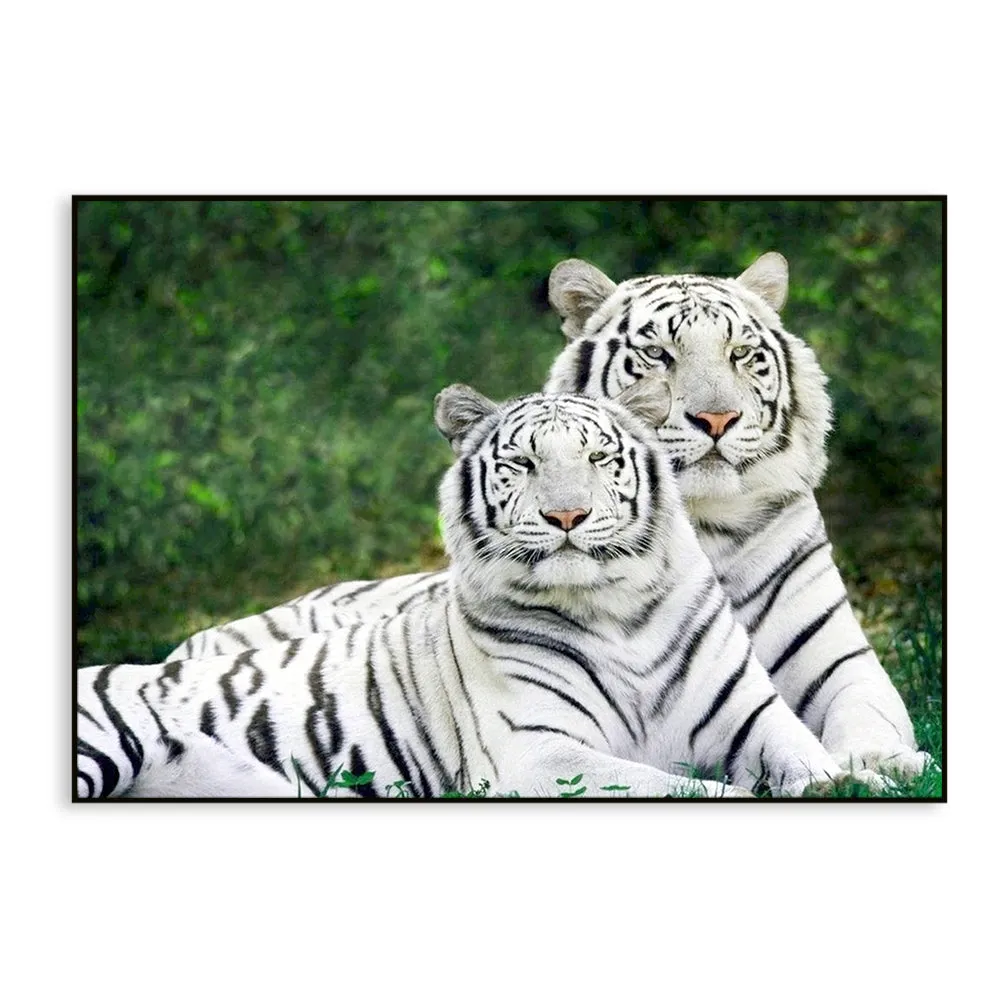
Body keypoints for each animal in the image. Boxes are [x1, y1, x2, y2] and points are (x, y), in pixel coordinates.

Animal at [77, 385, 875, 798]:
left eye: (598, 458)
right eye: (523, 463)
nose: (566, 516)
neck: (618, 612)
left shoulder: (753, 718)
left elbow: (811, 765)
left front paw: (852, 781)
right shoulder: (541, 755)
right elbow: (682, 788)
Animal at [166, 253, 933, 781]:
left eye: (743, 354)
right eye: (657, 354)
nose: (717, 418)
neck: (705, 527)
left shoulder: (840, 662)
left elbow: (868, 717)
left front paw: (888, 764)